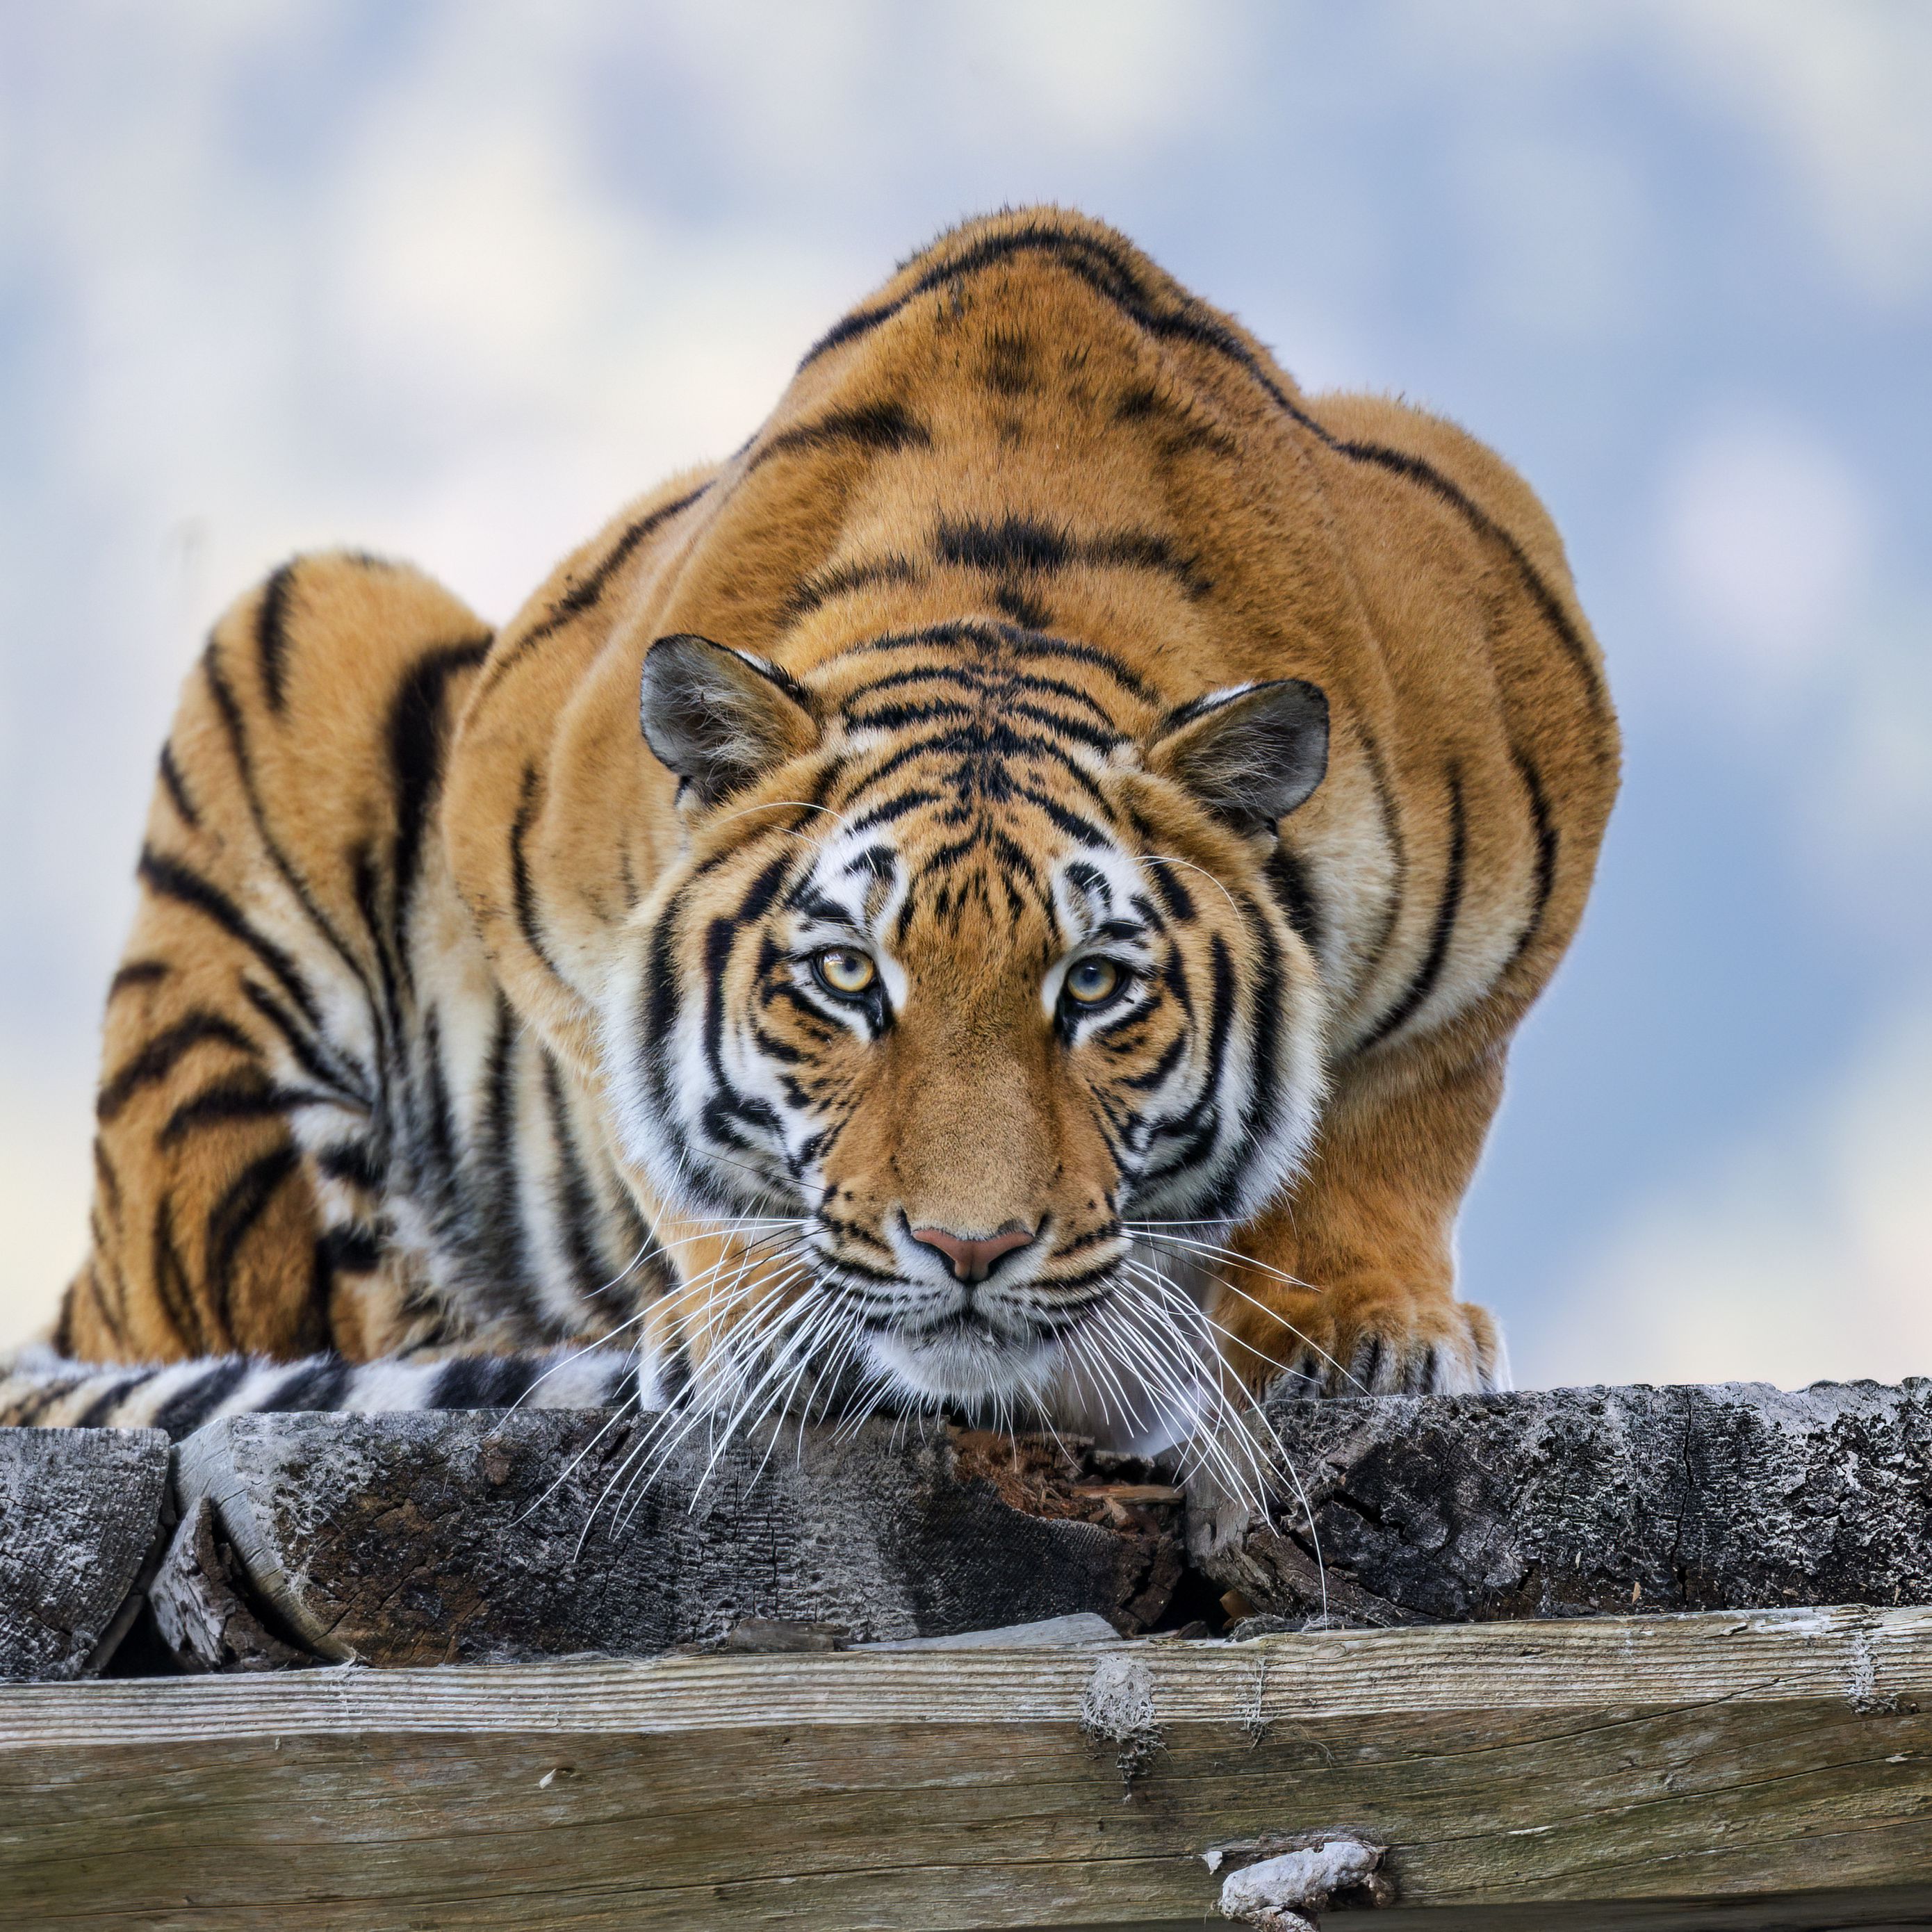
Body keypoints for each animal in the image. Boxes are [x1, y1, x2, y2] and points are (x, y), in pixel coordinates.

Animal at [2, 206, 1617, 1484]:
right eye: (845, 979)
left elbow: (1404, 1113)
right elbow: (658, 1123)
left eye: (1095, 987)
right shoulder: (526, 825)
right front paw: (751, 1326)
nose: (968, 1252)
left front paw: (1362, 1325)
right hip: (305, 632)